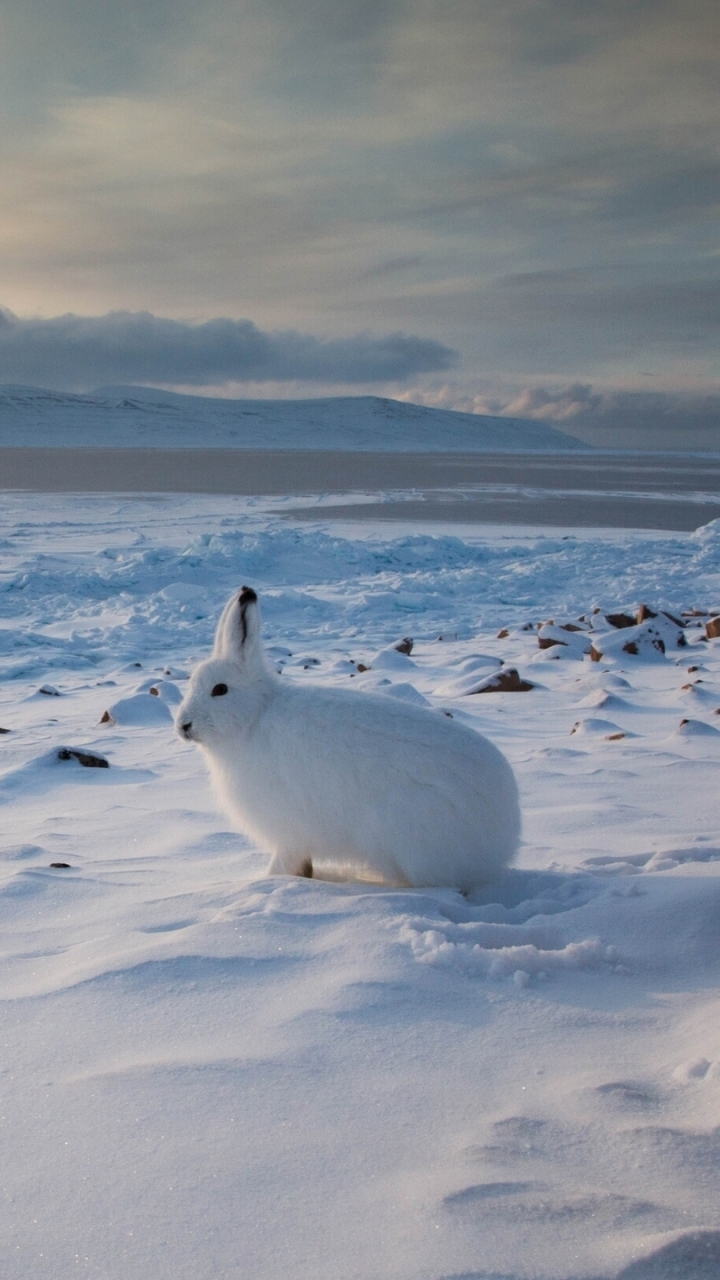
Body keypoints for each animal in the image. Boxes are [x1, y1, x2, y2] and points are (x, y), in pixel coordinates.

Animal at [176, 586, 520, 890]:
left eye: (220, 689)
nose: (183, 725)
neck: (254, 716)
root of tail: (504, 833)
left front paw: (269, 879)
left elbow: (287, 858)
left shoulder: (289, 827)